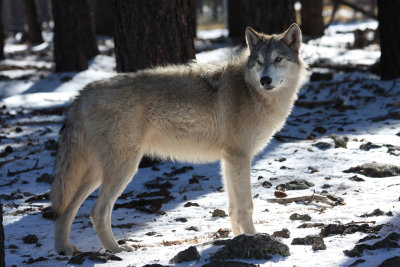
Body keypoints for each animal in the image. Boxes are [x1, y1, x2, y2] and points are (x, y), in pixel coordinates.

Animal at [50, 23, 306, 255]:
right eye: (259, 62)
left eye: (278, 59)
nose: (265, 80)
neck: (251, 92)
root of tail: (82, 94)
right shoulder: (240, 158)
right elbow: (247, 206)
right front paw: (253, 238)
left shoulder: (229, 162)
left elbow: (233, 207)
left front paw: (238, 239)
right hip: (124, 168)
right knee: (97, 212)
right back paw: (117, 249)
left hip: (97, 173)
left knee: (66, 210)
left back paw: (64, 250)